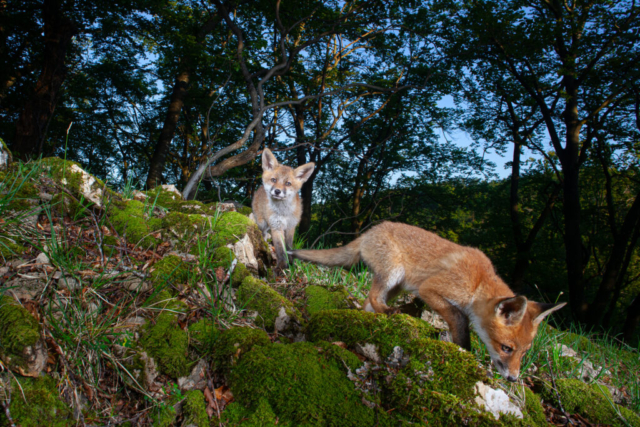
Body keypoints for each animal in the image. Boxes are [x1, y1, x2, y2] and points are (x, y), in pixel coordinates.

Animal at [290, 222, 564, 382]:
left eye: (524, 352)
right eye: (506, 348)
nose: (514, 379)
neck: (477, 283)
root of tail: (371, 230)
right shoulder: (429, 289)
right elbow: (459, 319)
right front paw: (465, 350)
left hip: (398, 286)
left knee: (368, 303)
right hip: (393, 273)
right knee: (374, 298)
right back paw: (388, 313)